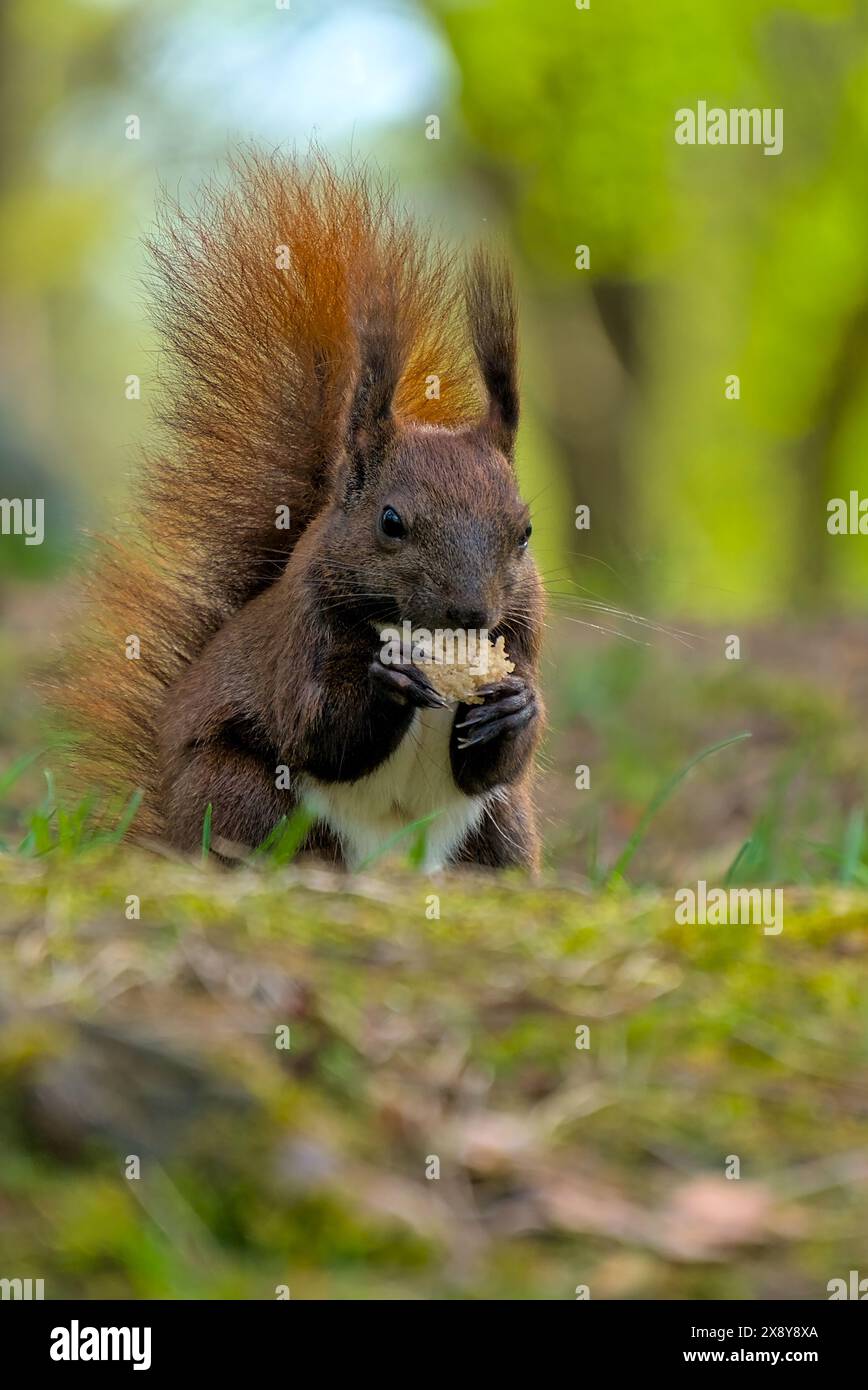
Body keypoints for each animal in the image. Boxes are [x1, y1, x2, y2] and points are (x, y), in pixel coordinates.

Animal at [57, 151, 546, 871]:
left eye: (526, 531)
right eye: (390, 522)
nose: (470, 615)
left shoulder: (523, 634)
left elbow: (501, 761)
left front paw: (514, 705)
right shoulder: (302, 638)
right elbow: (318, 729)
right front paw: (388, 682)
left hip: (501, 828)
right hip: (240, 794)